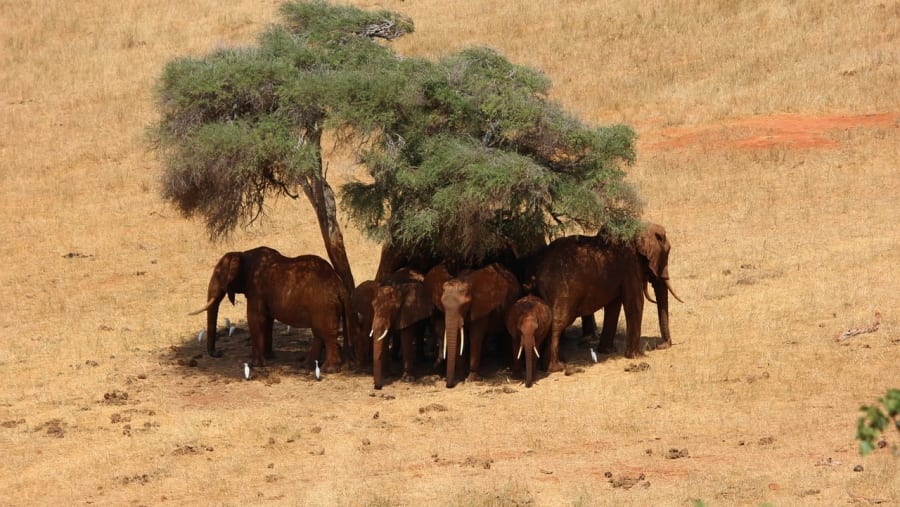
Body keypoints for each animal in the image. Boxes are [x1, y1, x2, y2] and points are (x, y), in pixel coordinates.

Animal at [189, 247, 357, 372]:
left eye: (218, 274)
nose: (218, 353)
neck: (242, 253)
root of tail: (340, 287)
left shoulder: (256, 288)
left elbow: (255, 318)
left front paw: (256, 364)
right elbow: (267, 320)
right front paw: (269, 357)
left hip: (323, 306)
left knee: (326, 334)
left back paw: (329, 369)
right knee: (319, 333)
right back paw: (307, 366)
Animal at [528, 223, 682, 372]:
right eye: (666, 254)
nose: (659, 346)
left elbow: (613, 306)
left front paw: (607, 351)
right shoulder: (630, 265)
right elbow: (635, 302)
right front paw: (635, 356)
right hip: (562, 291)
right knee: (558, 323)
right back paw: (556, 368)